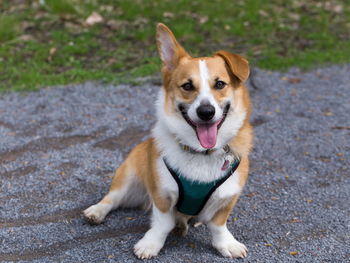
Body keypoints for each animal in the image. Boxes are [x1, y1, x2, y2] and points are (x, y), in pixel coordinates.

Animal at [83, 23, 253, 260]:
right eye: (188, 86)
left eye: (220, 84)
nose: (206, 112)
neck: (200, 152)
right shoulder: (161, 193)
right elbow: (163, 222)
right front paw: (150, 244)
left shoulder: (228, 196)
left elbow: (218, 225)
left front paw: (226, 244)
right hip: (129, 177)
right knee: (112, 198)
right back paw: (96, 211)